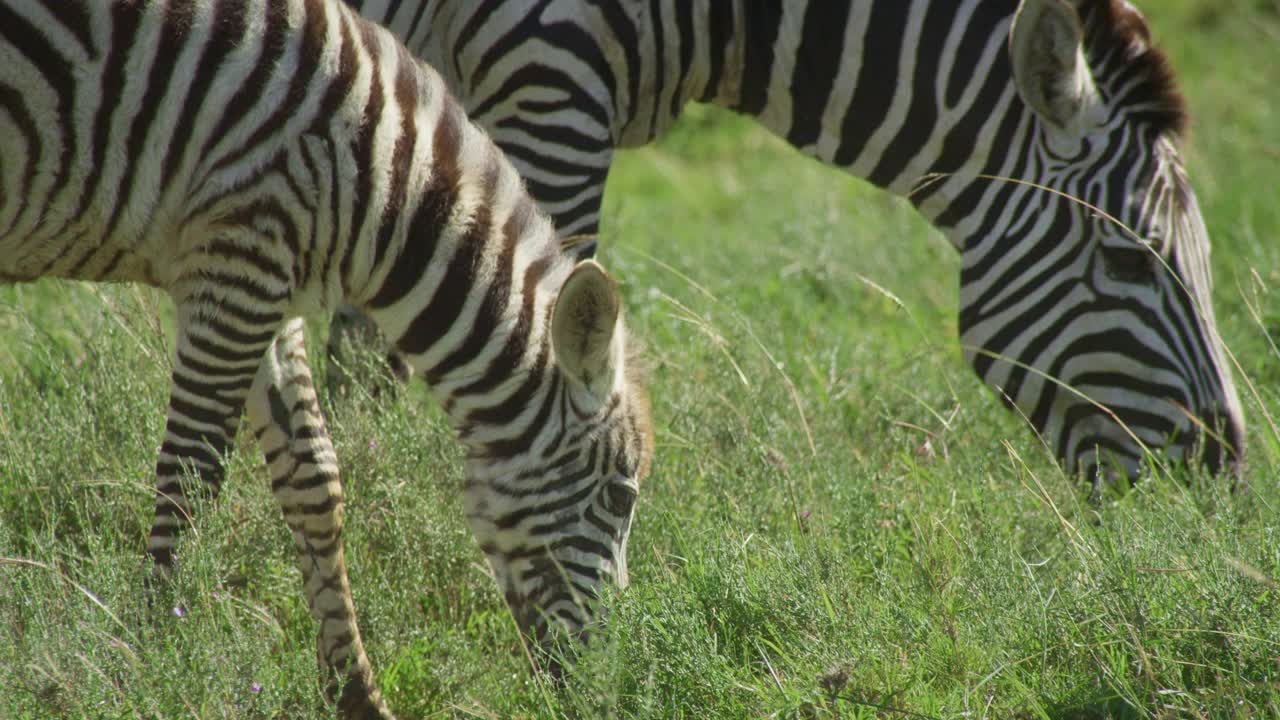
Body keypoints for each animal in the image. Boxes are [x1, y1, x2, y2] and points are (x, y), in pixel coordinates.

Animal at [0, 2, 655, 712]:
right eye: (620, 496)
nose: (600, 685)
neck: (386, 181)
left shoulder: (259, 280)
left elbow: (313, 475)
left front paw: (355, 693)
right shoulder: (241, 255)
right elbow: (191, 474)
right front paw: (147, 660)